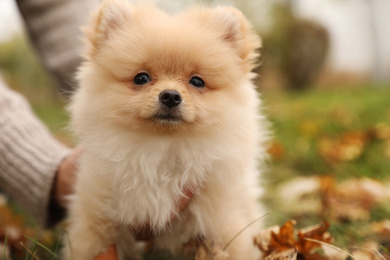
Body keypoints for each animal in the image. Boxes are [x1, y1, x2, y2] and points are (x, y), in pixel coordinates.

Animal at [66, 0, 268, 258]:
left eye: (197, 81)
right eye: (141, 78)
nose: (170, 95)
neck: (162, 148)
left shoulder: (221, 223)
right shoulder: (96, 220)